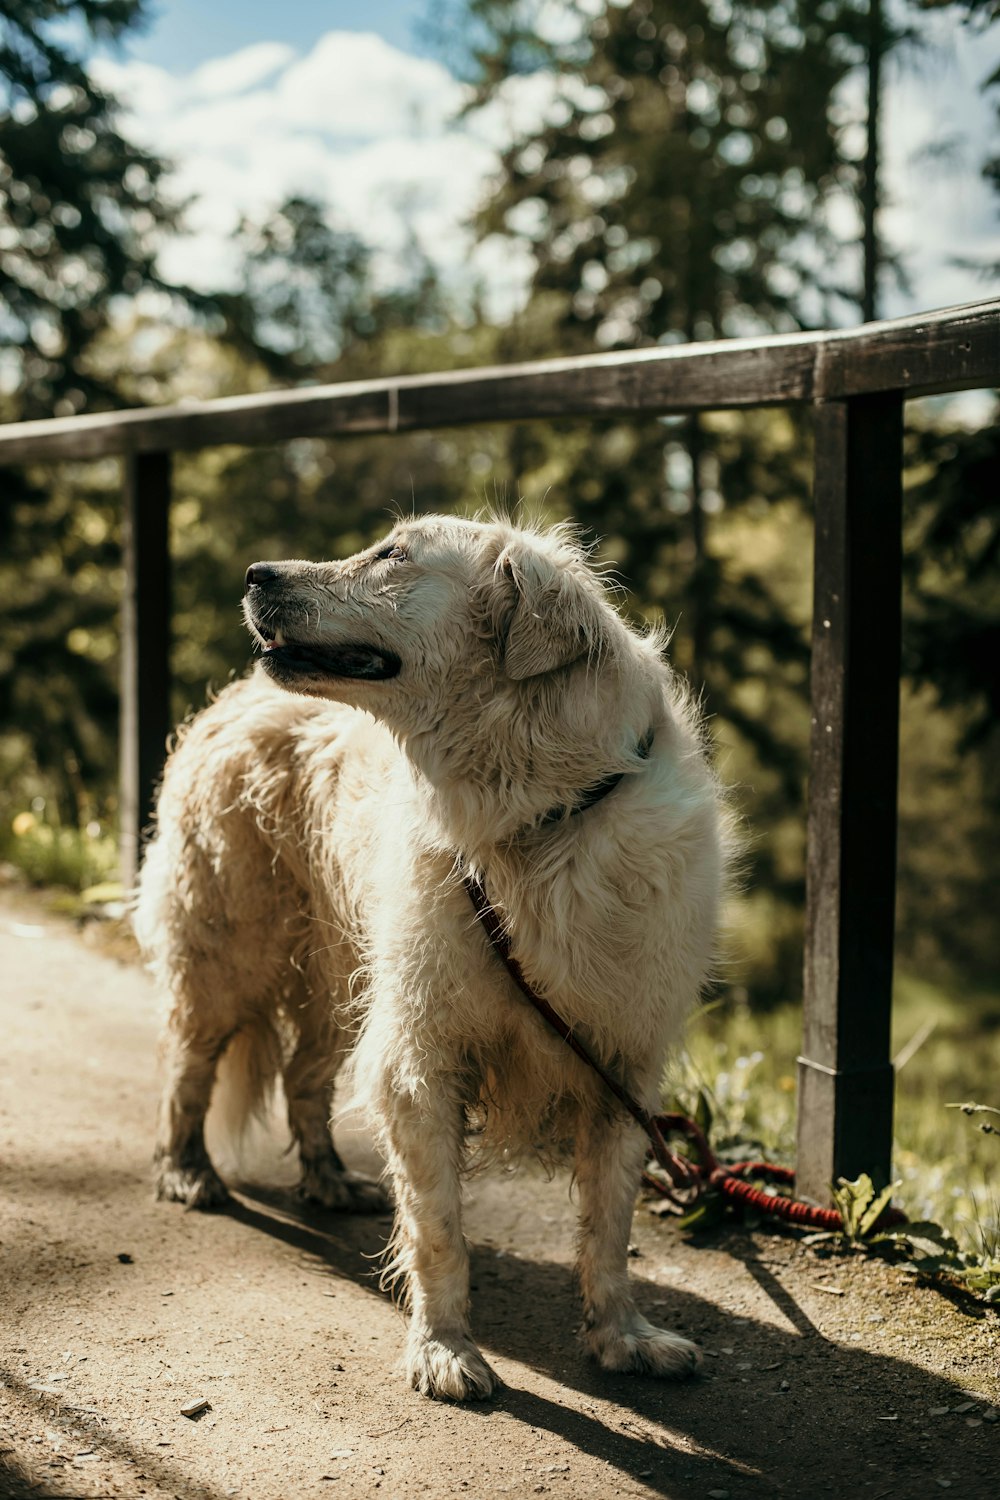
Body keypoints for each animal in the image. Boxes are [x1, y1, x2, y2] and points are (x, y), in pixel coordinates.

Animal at [134, 513, 728, 1392]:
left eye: (394, 556)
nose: (254, 572)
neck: (536, 817)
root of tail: (233, 698)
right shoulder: (421, 1055)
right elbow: (438, 1227)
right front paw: (444, 1349)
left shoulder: (620, 1063)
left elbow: (609, 1226)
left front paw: (622, 1334)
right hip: (230, 957)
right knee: (189, 1068)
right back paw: (186, 1171)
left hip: (344, 982)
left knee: (303, 1079)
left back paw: (328, 1176)